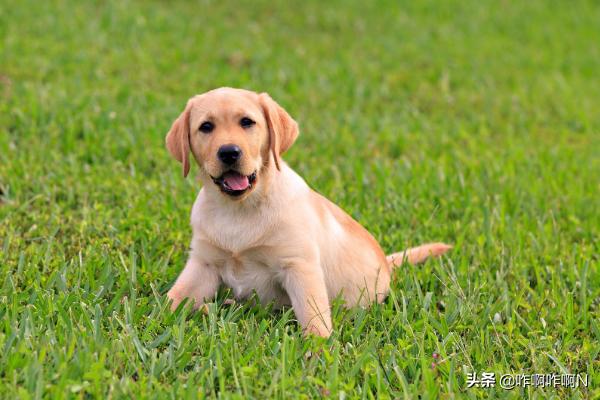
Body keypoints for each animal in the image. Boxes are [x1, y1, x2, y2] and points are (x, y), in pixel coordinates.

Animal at [164, 87, 450, 338]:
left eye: (247, 122)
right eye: (206, 127)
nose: (229, 152)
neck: (238, 209)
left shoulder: (299, 266)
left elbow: (313, 315)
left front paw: (319, 349)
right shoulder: (203, 264)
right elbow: (171, 299)